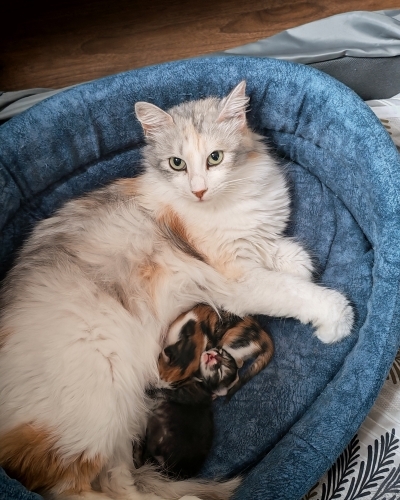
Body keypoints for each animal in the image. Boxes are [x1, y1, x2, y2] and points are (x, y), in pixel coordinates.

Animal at [0, 80, 354, 500]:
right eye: (177, 164)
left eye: (215, 158)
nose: (199, 191)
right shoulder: (236, 279)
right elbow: (294, 291)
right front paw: (338, 319)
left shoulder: (253, 248)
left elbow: (292, 260)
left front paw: (295, 262)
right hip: (97, 406)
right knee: (87, 489)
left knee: (118, 479)